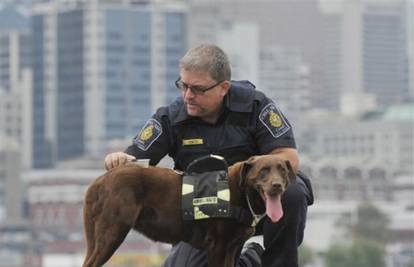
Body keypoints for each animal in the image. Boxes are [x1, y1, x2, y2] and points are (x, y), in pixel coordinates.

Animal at [81, 155, 294, 267]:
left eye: (282, 170)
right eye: (264, 170)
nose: (277, 186)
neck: (241, 192)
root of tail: (99, 181)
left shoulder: (233, 247)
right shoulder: (218, 245)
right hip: (112, 234)